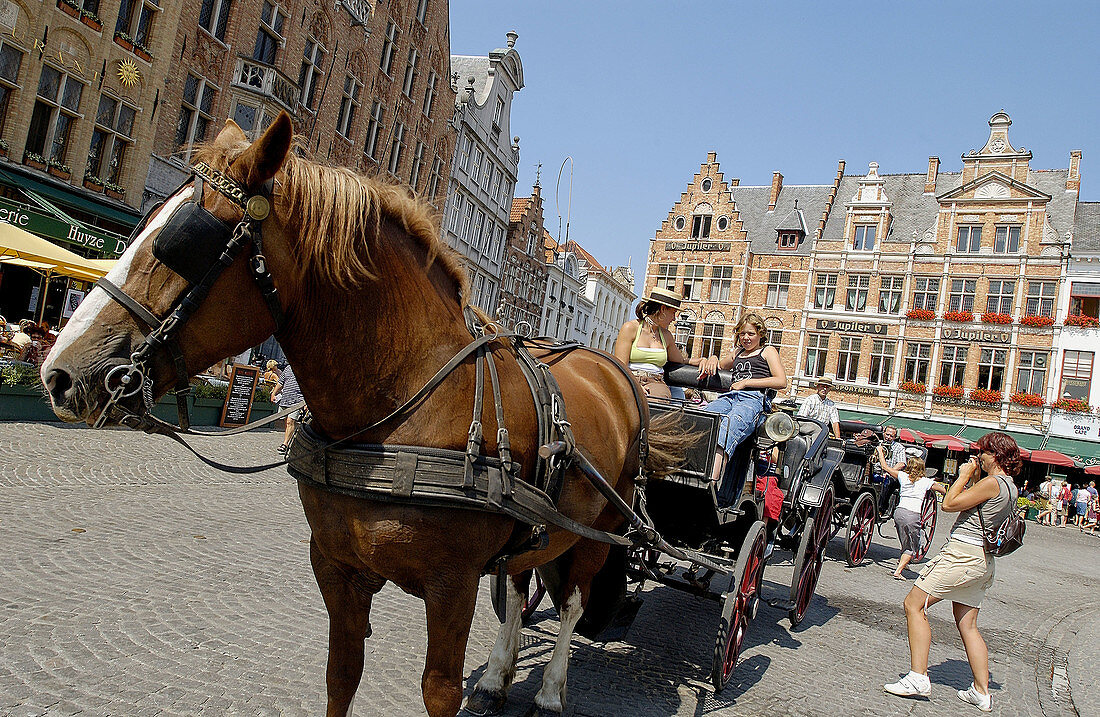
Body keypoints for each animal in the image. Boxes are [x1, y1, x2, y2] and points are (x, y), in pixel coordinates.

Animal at [40, 114, 686, 712]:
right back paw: (499, 675)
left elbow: (438, 692)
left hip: (602, 531)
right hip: (540, 528)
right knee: (520, 582)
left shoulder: (452, 587)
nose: (59, 372)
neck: (400, 409)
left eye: (182, 241)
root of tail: (613, 372)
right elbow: (341, 676)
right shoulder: (335, 566)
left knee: (573, 603)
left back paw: (551, 689)